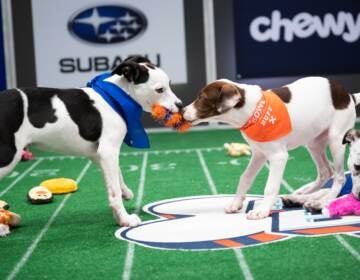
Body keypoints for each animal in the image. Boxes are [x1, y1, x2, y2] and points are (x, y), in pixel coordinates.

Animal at [0, 55, 180, 226]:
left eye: (170, 84)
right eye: (160, 89)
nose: (180, 104)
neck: (116, 97)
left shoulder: (98, 154)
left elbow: (117, 175)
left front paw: (124, 195)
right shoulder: (108, 151)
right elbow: (114, 193)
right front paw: (125, 219)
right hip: (8, 155)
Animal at [183, 77, 360, 220]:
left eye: (202, 97)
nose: (182, 109)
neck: (252, 110)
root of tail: (348, 95)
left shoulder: (278, 156)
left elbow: (271, 186)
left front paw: (262, 210)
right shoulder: (258, 154)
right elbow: (245, 177)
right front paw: (236, 203)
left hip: (336, 139)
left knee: (339, 177)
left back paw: (325, 200)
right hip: (314, 142)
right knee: (325, 171)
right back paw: (302, 194)